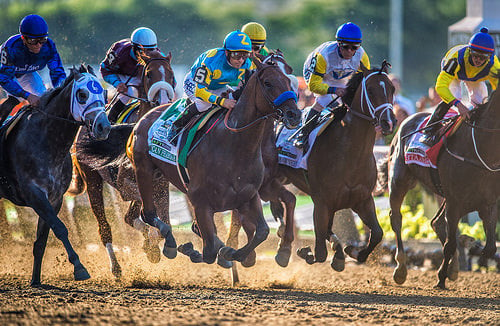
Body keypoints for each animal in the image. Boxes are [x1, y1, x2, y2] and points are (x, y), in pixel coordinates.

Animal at [0, 64, 110, 286]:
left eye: (103, 93)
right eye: (82, 94)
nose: (104, 127)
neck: (48, 141)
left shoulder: (55, 197)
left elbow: (42, 240)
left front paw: (35, 280)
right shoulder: (34, 194)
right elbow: (60, 228)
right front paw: (79, 268)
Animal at [66, 51, 176, 278]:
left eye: (171, 75)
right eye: (149, 75)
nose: (162, 101)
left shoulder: (161, 184)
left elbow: (159, 221)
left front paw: (152, 246)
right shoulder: (126, 185)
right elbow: (145, 214)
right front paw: (151, 243)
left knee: (128, 217)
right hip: (93, 181)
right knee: (104, 226)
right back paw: (115, 267)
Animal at [125, 58, 300, 266]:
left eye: (289, 81)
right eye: (268, 83)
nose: (295, 114)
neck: (234, 147)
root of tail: (145, 117)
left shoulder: (249, 196)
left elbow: (262, 232)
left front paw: (234, 253)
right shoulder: (200, 203)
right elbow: (209, 251)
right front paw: (201, 250)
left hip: (160, 177)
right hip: (144, 170)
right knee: (149, 213)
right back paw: (169, 243)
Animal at [378, 88, 500, 288]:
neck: (481, 151)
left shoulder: (488, 203)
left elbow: (489, 247)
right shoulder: (455, 202)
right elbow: (450, 245)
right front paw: (441, 277)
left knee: (437, 222)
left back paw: (454, 266)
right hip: (399, 181)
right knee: (396, 218)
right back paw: (401, 268)